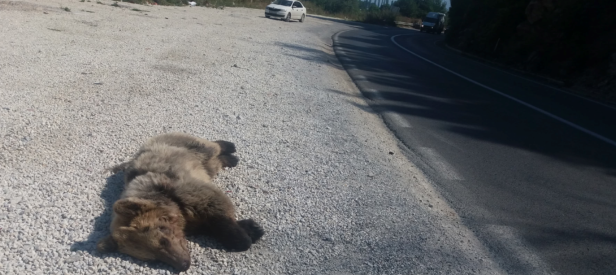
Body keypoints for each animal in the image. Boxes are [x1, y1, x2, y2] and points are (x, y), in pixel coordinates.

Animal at [95, 133, 262, 272]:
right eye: (152, 258)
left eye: (163, 241)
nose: (183, 265)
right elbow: (210, 224)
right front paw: (251, 228)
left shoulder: (184, 191)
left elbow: (217, 208)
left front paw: (244, 238)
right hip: (203, 166)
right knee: (213, 163)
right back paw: (230, 159)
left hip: (186, 147)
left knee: (210, 148)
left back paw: (229, 147)